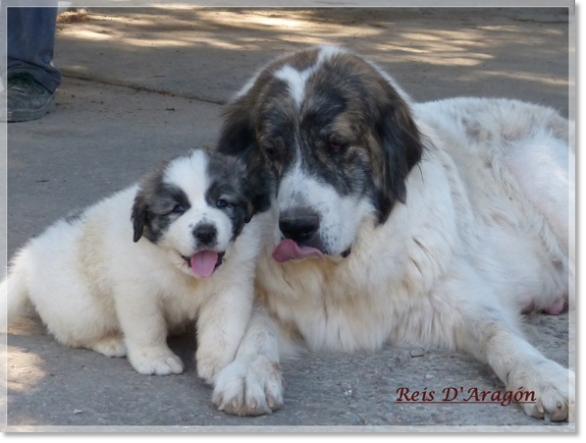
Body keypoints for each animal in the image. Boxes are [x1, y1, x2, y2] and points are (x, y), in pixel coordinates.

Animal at [210, 46, 572, 422]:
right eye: (272, 151)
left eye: (336, 144)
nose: (297, 226)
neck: (340, 272)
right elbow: (256, 326)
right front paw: (249, 372)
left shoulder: (457, 293)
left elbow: (496, 332)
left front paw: (542, 376)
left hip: (542, 173)